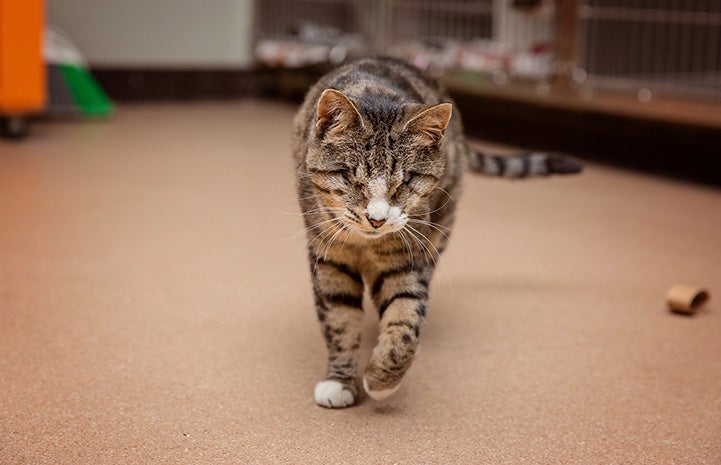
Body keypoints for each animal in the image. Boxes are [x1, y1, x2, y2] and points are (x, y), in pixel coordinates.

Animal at [292, 57, 580, 406]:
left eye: (406, 181)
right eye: (350, 177)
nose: (377, 219)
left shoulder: (408, 256)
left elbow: (405, 316)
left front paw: (382, 378)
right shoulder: (330, 257)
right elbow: (339, 319)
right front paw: (340, 382)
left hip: (439, 228)